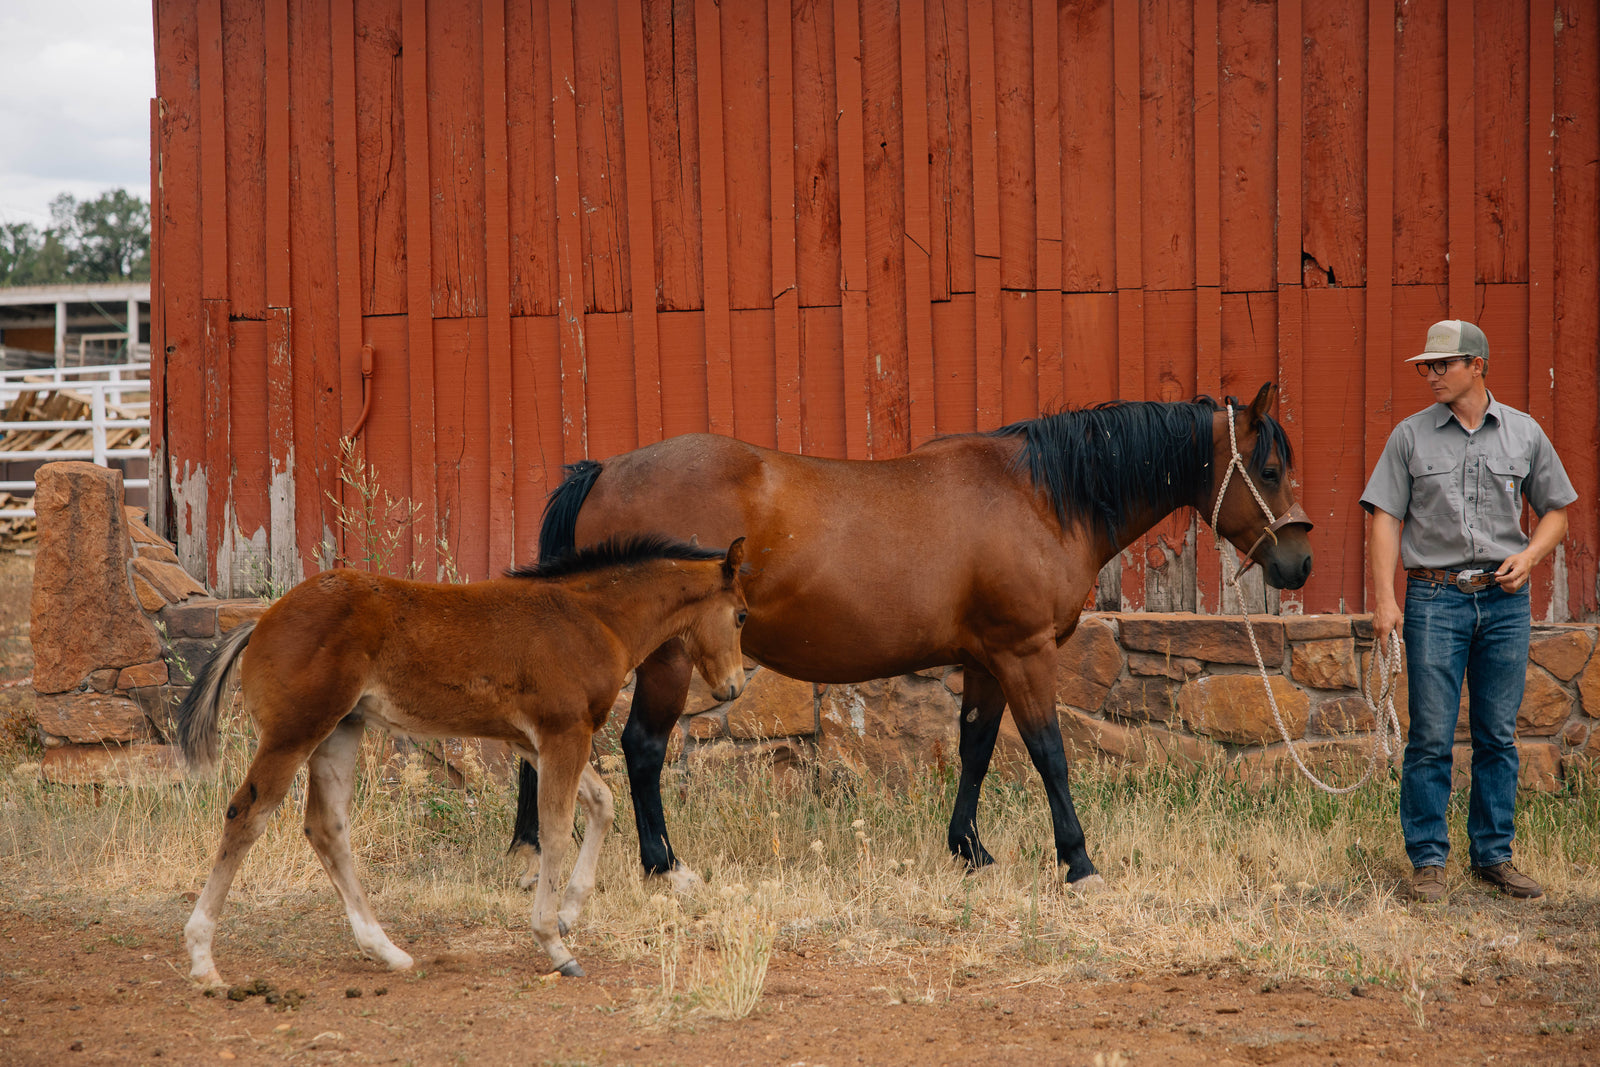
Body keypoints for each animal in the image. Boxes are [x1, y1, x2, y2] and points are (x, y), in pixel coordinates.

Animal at [175, 534, 749, 986]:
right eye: (742, 614)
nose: (734, 688)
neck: (591, 619)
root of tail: (261, 620)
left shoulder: (533, 741)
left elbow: (602, 804)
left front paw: (567, 915)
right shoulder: (564, 733)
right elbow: (556, 828)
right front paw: (554, 944)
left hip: (340, 731)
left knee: (326, 826)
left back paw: (386, 950)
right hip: (293, 734)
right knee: (247, 814)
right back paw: (203, 959)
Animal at [513, 382, 1312, 891]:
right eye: (1270, 468)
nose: (1298, 562)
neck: (1040, 496)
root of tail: (603, 471)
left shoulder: (988, 658)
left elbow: (977, 748)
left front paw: (971, 850)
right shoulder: (1024, 651)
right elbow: (1050, 753)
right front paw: (1079, 862)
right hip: (668, 656)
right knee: (643, 748)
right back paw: (664, 865)